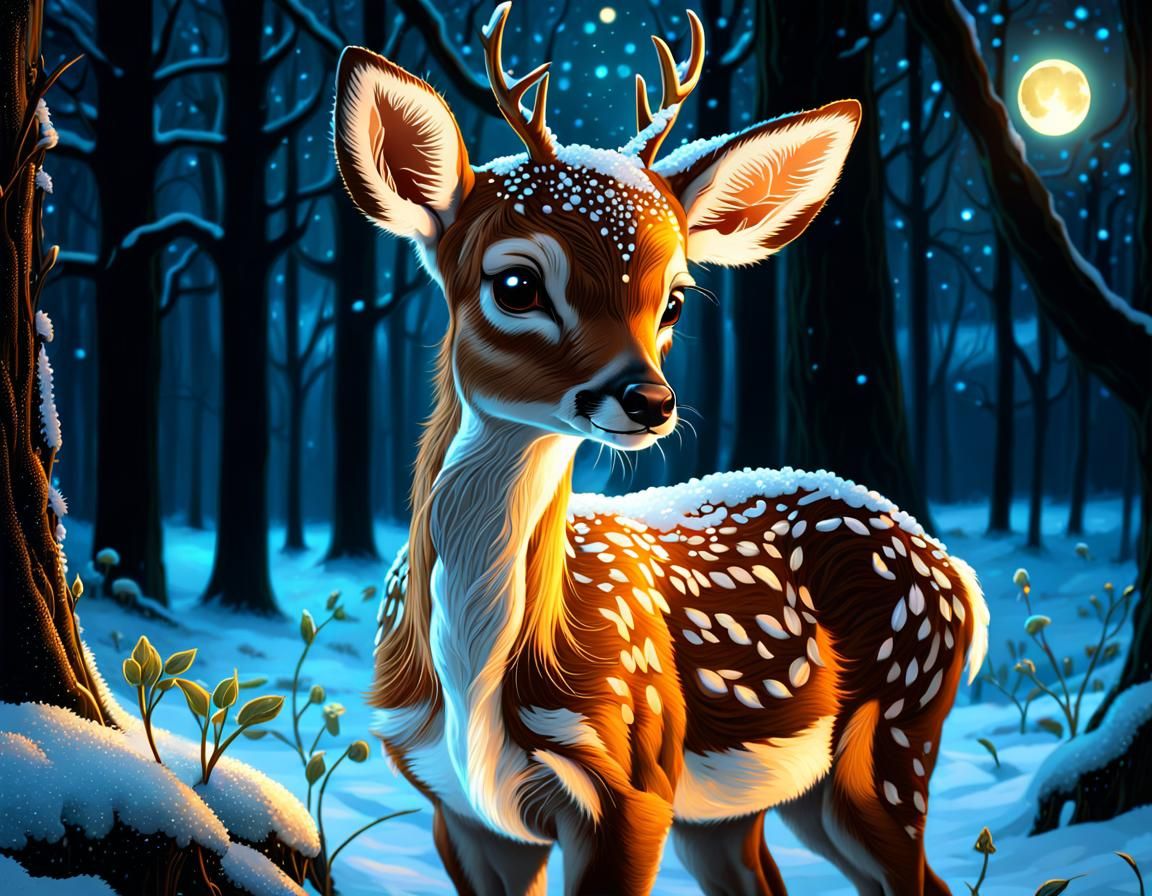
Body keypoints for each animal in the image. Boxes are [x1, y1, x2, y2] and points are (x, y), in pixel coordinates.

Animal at [333, 4, 989, 894]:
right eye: (517, 284)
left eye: (674, 298)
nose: (648, 400)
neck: (473, 687)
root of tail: (956, 571)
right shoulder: (457, 809)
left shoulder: (631, 777)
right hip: (743, 807)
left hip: (892, 732)